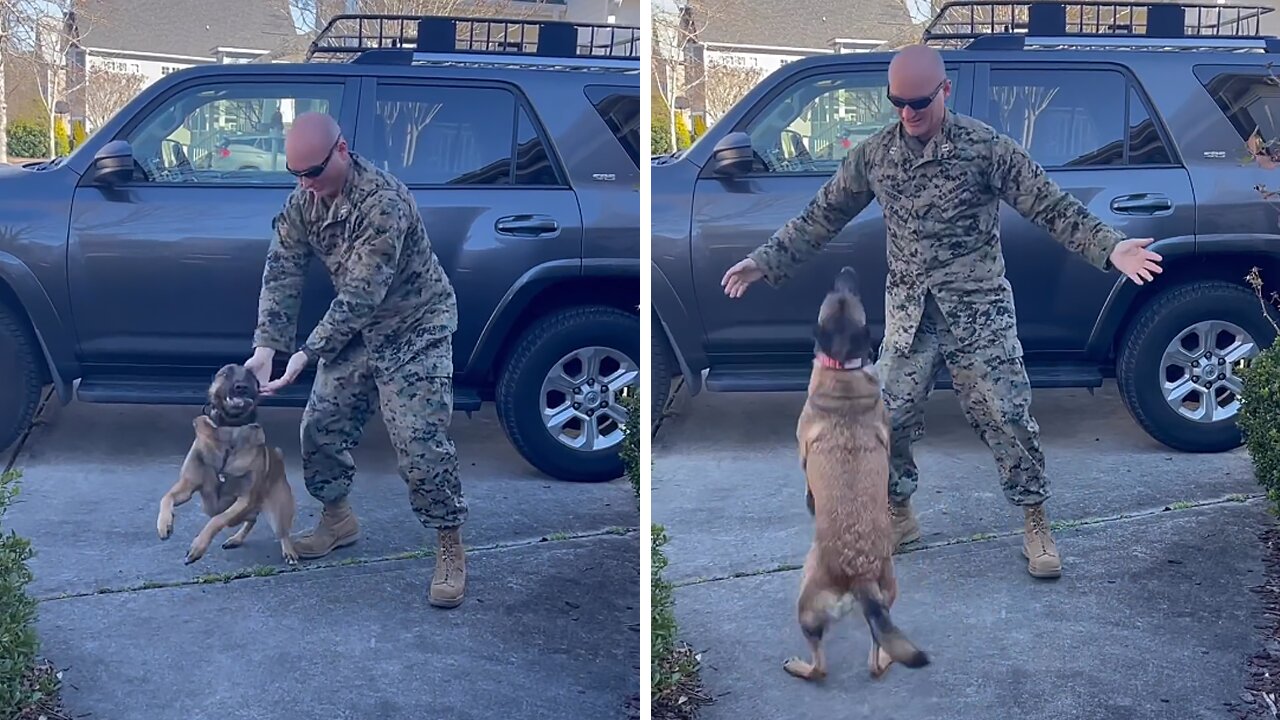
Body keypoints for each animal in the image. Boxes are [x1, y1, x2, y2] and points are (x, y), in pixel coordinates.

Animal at [154, 363, 296, 566]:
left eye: (251, 376)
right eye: (225, 373)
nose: (241, 387)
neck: (230, 431)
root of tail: (278, 457)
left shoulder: (244, 499)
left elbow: (217, 520)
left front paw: (198, 546)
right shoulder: (187, 486)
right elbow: (167, 497)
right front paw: (164, 523)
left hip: (278, 511)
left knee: (282, 532)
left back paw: (289, 551)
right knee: (251, 520)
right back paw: (236, 539)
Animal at [778, 266, 931, 681]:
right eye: (846, 294)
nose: (846, 269)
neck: (842, 367)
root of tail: (858, 573)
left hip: (806, 603)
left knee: (820, 667)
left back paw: (798, 666)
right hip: (888, 593)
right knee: (877, 655)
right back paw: (888, 659)